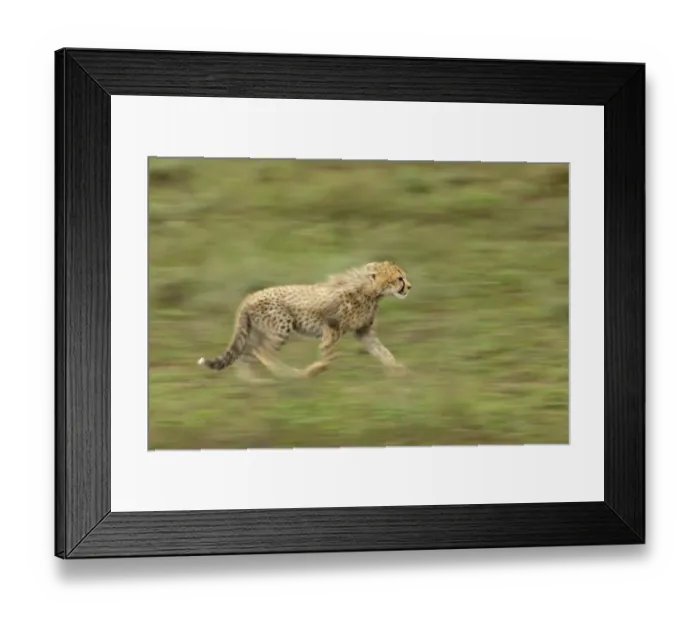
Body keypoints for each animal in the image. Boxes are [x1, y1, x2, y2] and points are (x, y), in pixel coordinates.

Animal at [197, 260, 412, 382]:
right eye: (399, 278)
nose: (409, 286)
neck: (371, 291)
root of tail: (249, 297)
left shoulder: (364, 332)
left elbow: (384, 352)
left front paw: (400, 371)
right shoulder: (332, 329)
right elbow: (328, 360)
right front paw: (313, 370)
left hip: (256, 333)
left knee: (245, 356)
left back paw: (254, 383)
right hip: (281, 326)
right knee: (263, 352)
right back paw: (291, 374)